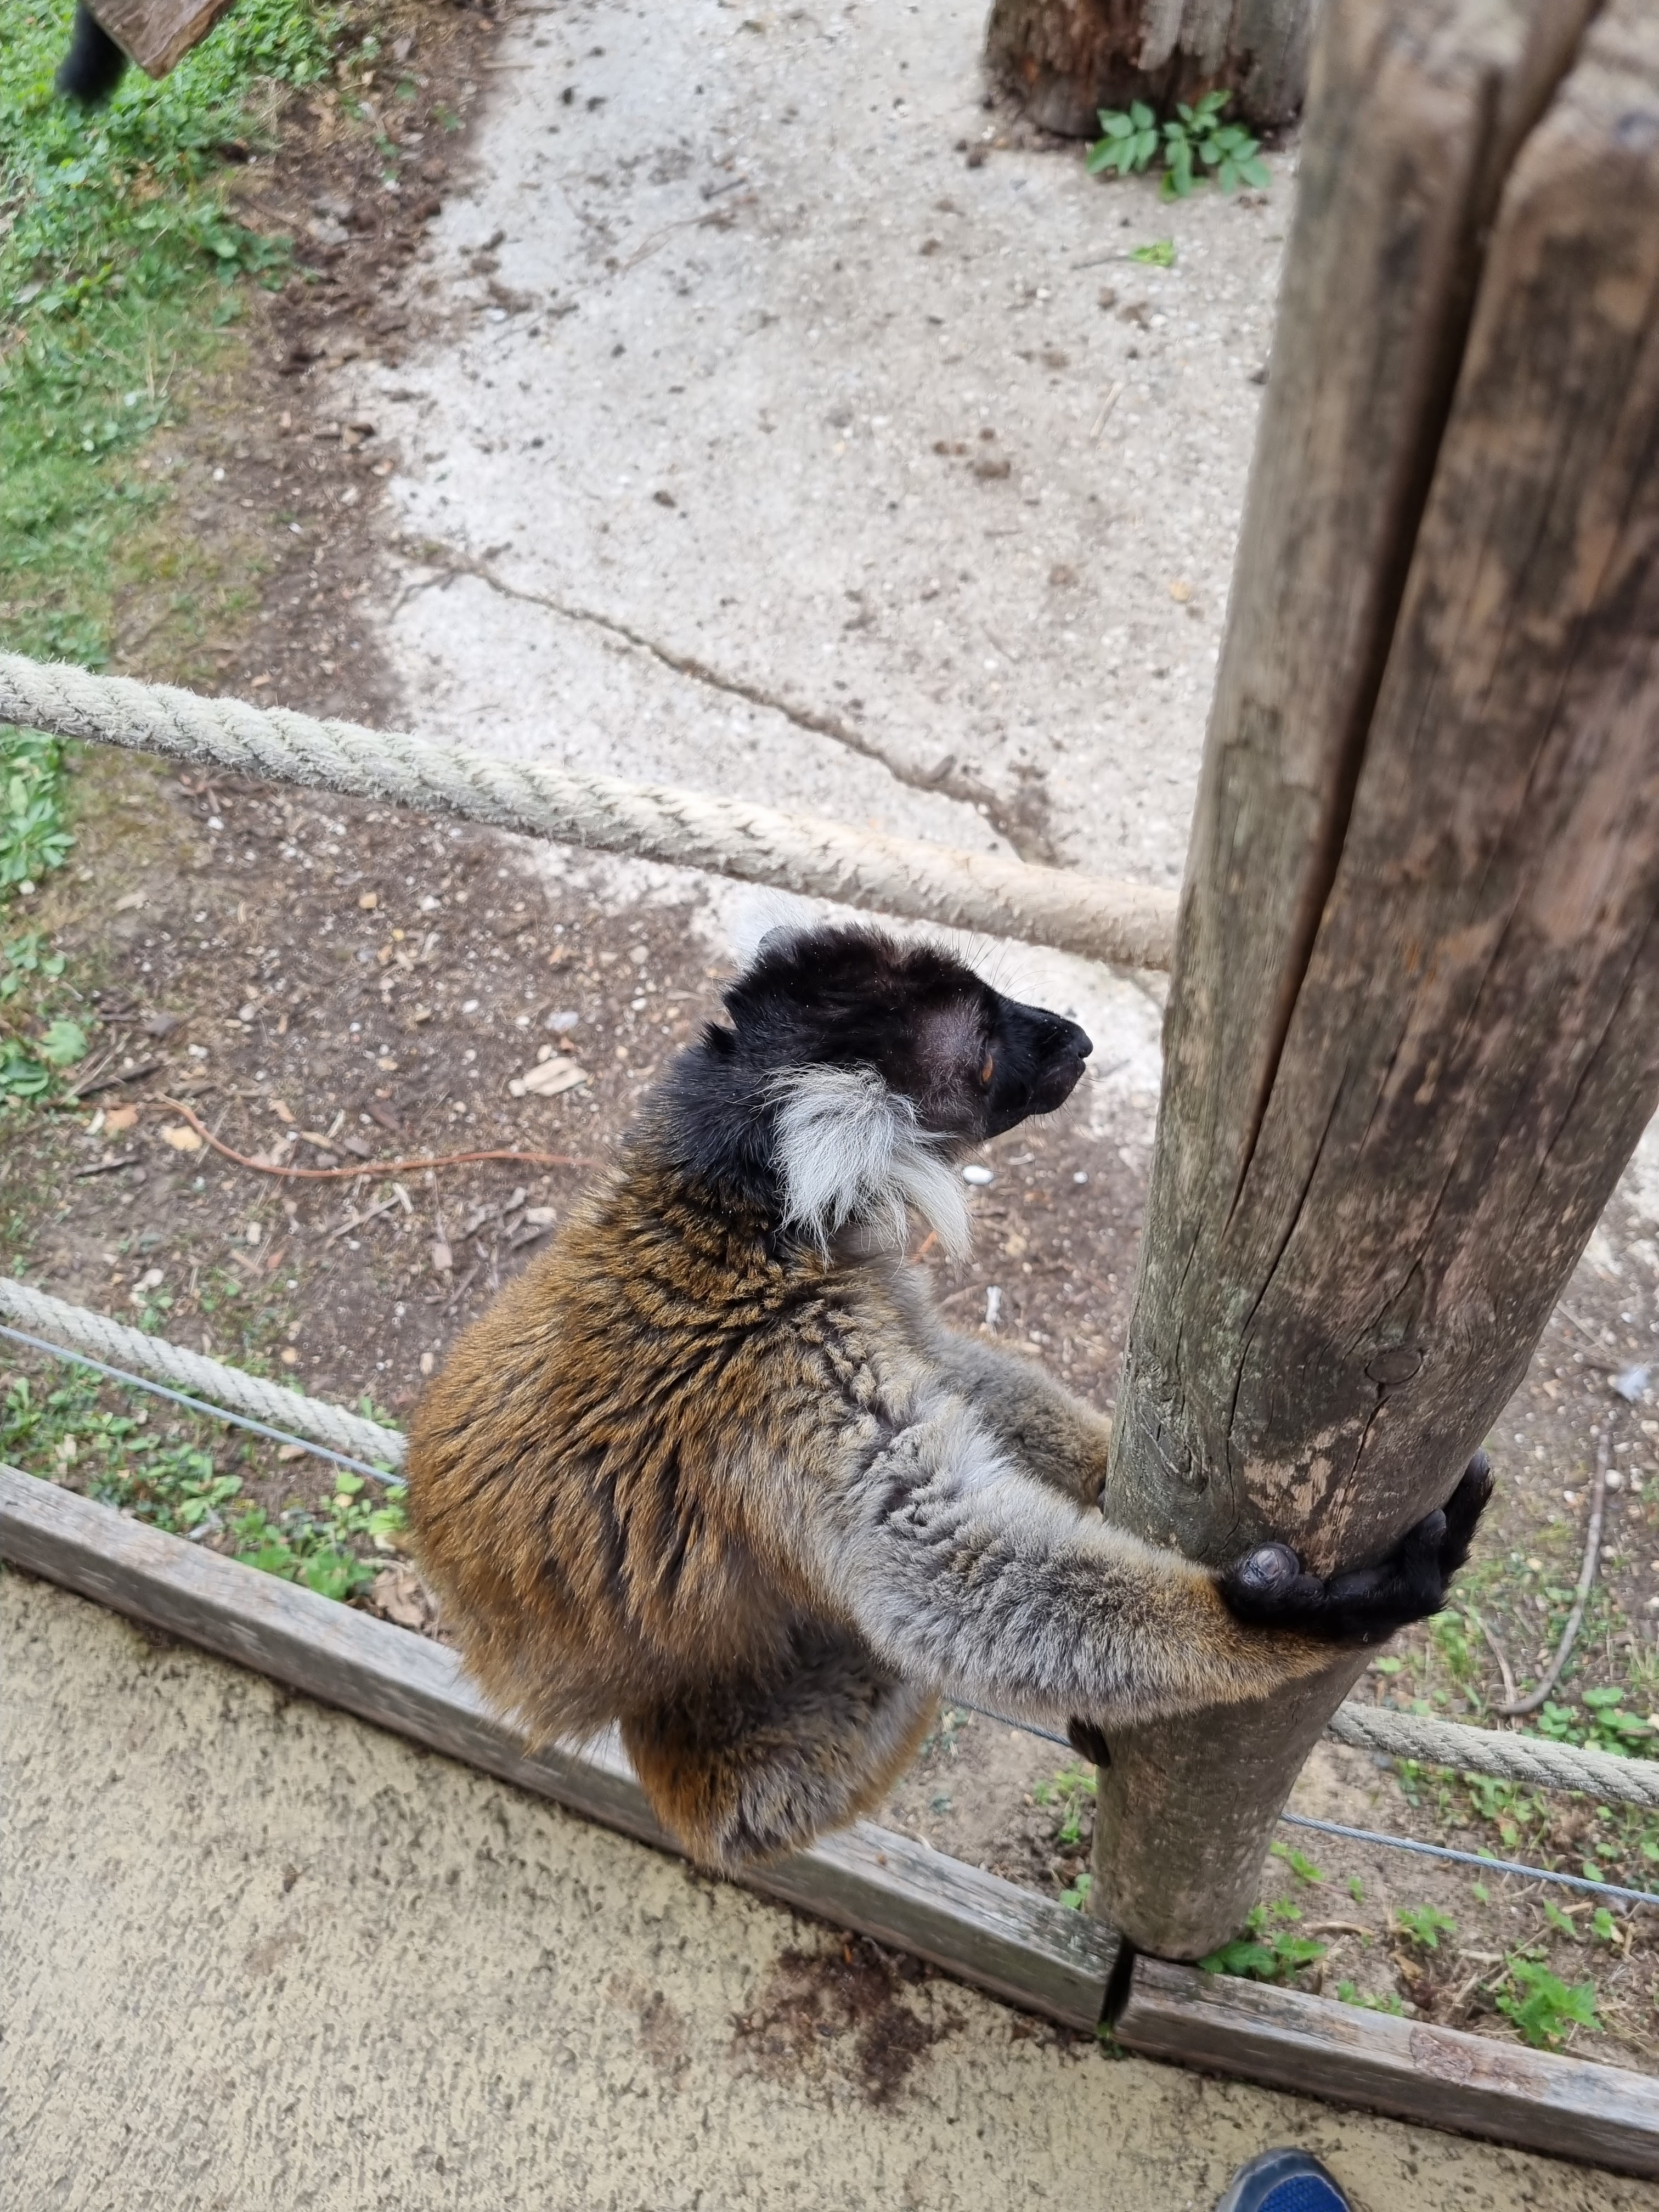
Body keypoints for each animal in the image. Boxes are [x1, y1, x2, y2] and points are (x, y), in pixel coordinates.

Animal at [407, 921, 1492, 1872]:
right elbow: (947, 1575)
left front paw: (1106, 1471)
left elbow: (958, 1384)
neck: (738, 1209)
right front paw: (1310, 1618)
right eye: (984, 1042)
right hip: (757, 1774)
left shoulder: (855, 1289)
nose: (1074, 1035)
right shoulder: (780, 1368)